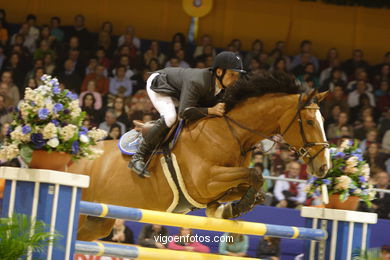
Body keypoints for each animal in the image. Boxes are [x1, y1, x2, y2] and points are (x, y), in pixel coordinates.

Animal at [68, 72, 330, 241]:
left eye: (323, 120)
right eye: (309, 122)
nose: (324, 168)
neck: (231, 132)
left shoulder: (217, 186)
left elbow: (251, 186)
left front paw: (228, 209)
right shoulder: (206, 181)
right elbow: (255, 174)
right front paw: (237, 207)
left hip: (96, 222)